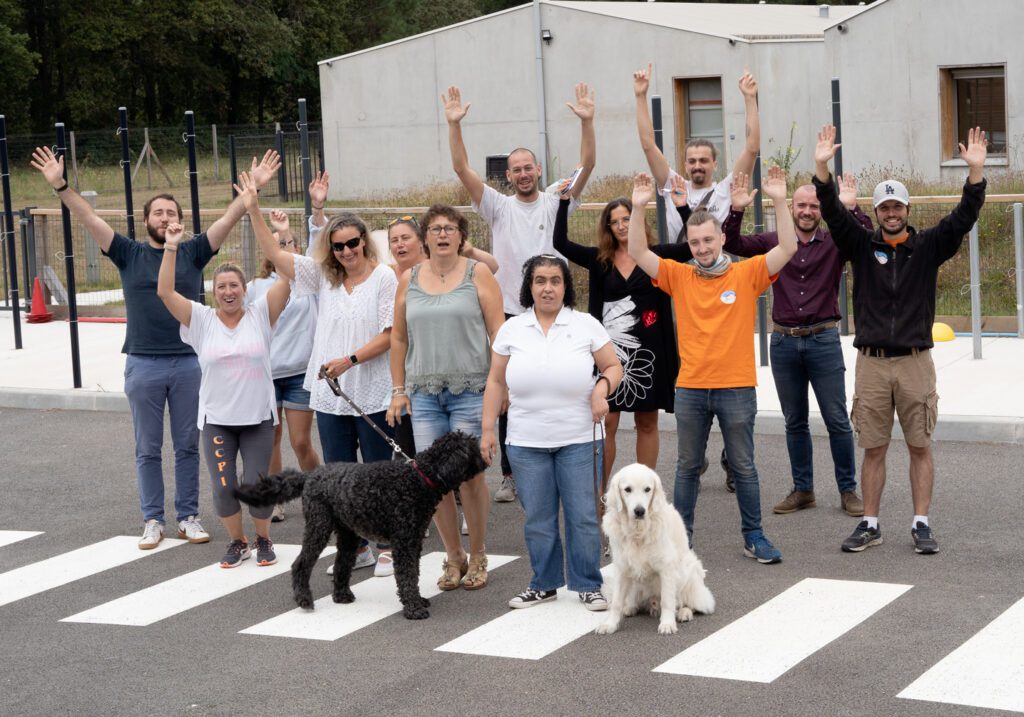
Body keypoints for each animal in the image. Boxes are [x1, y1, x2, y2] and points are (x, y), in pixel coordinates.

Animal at [234, 428, 485, 618]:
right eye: (472, 449)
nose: (486, 457)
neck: (419, 478)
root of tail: (310, 476)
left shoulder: (413, 541)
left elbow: (413, 572)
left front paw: (418, 600)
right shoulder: (404, 542)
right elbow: (407, 575)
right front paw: (414, 608)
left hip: (348, 533)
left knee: (341, 564)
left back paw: (341, 595)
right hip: (319, 527)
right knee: (300, 564)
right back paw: (304, 599)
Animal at [598, 465, 716, 630]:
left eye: (647, 489)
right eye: (627, 489)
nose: (639, 511)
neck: (638, 532)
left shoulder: (666, 567)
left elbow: (667, 600)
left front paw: (667, 624)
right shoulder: (622, 567)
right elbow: (616, 602)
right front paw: (610, 624)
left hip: (689, 571)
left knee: (686, 603)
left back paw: (684, 613)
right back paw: (630, 608)